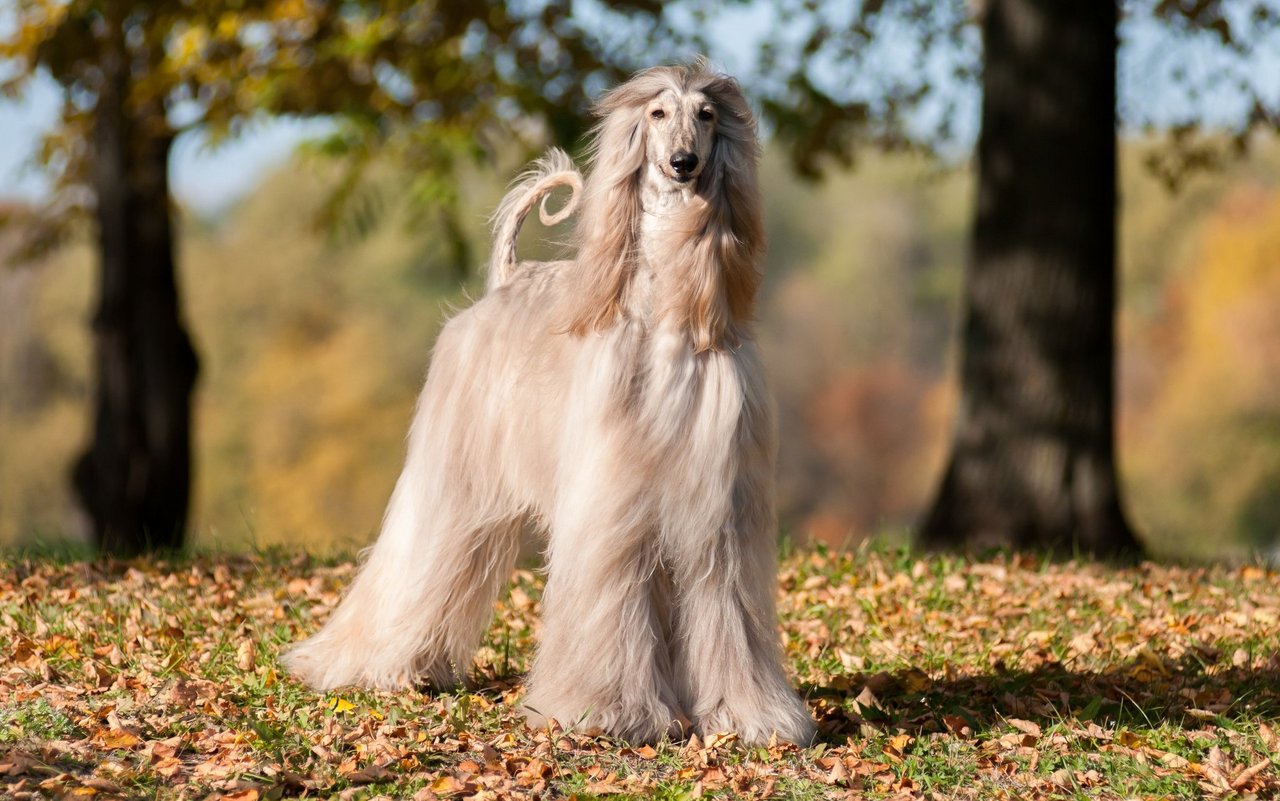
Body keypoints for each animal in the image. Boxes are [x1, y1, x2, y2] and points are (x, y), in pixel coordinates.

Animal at [285, 60, 814, 742]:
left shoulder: (716, 512)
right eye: (657, 114)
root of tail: (508, 280)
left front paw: (744, 716)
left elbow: (724, 609)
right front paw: (606, 711)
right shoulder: (611, 499)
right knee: (416, 555)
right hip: (453, 472)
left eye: (706, 115)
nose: (683, 164)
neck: (666, 312)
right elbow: (609, 595)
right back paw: (365, 664)